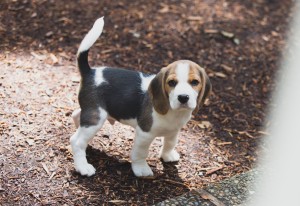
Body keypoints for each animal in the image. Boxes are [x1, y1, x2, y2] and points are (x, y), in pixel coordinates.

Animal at [69, 17, 211, 177]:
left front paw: (167, 156)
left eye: (195, 82)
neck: (173, 112)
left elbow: (170, 143)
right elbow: (140, 153)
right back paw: (83, 167)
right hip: (97, 117)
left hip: (92, 111)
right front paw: (141, 169)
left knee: (76, 115)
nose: (183, 97)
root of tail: (90, 72)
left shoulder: (174, 131)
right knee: (76, 141)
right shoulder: (144, 134)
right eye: (171, 83)